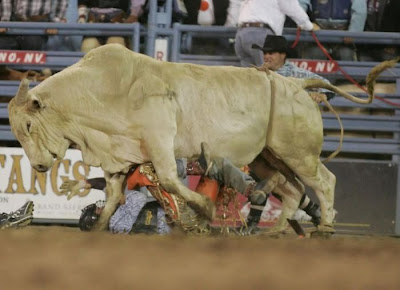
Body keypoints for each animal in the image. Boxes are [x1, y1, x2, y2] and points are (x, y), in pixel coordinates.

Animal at [8, 44, 396, 232]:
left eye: (28, 125)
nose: (39, 166)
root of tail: (296, 85)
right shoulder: (119, 157)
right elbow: (114, 195)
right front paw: (99, 226)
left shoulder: (160, 141)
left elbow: (169, 180)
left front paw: (205, 210)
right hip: (269, 157)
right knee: (291, 190)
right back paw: (276, 230)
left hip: (299, 152)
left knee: (324, 182)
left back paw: (326, 226)